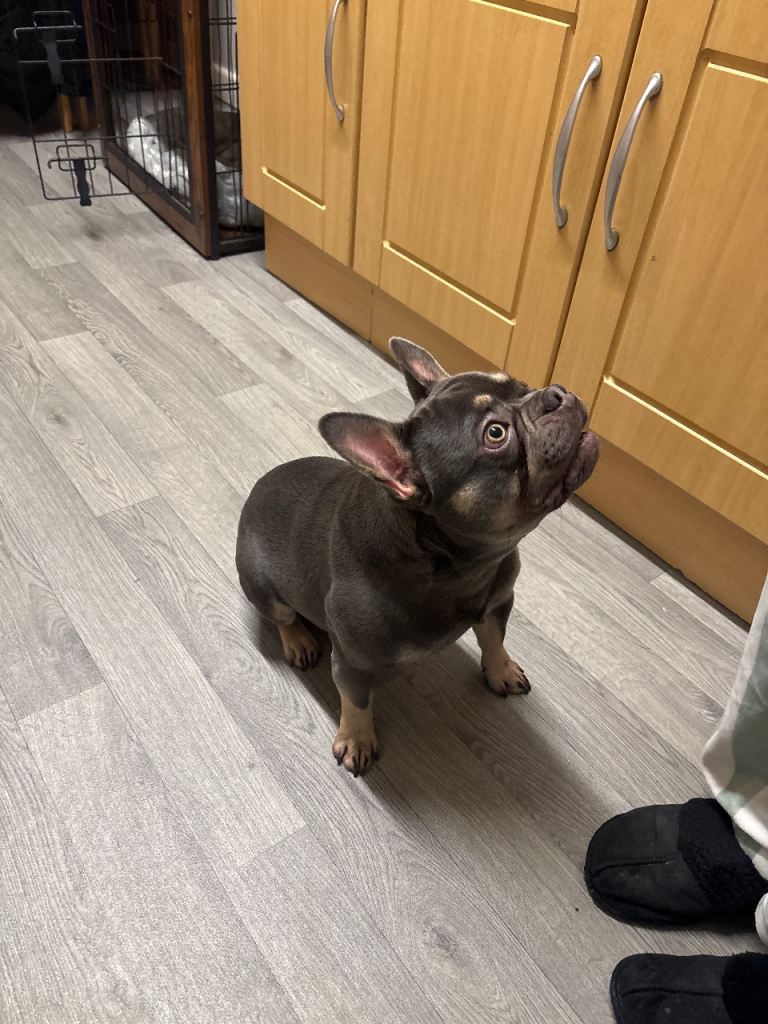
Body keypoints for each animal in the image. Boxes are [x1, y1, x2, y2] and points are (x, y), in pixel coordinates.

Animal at [236, 338, 599, 776]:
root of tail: (256, 491)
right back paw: (298, 640)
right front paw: (356, 739)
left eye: (521, 384)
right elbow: (356, 700)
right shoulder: (353, 663)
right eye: (496, 434)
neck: (458, 567)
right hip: (260, 584)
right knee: (282, 615)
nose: (555, 393)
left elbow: (494, 639)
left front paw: (501, 670)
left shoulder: (498, 602)